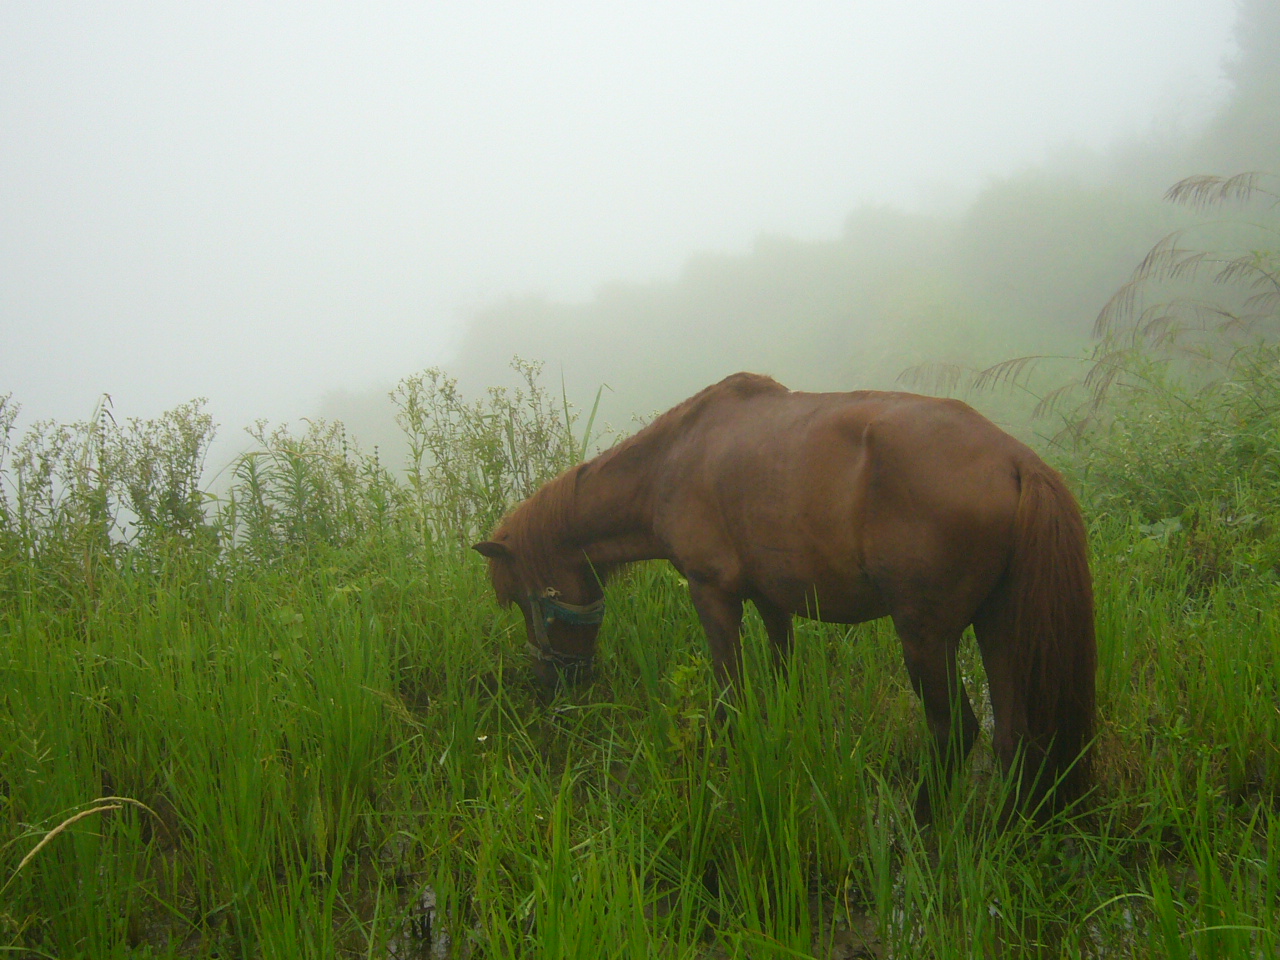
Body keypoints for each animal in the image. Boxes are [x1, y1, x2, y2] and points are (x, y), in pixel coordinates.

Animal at [476, 371, 1095, 824]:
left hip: (926, 635)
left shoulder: (711, 593)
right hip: (999, 626)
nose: (553, 680)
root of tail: (1016, 460)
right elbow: (780, 676)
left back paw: (917, 821)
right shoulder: (771, 597)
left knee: (957, 733)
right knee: (1014, 735)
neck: (672, 461)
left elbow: (730, 691)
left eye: (529, 600)